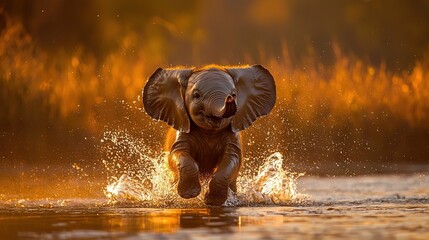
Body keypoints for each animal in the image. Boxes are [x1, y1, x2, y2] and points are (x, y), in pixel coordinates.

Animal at [142, 64, 276, 205]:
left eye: (234, 94)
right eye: (196, 95)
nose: (230, 98)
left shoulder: (232, 137)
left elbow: (231, 160)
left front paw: (212, 201)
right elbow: (178, 154)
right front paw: (190, 194)